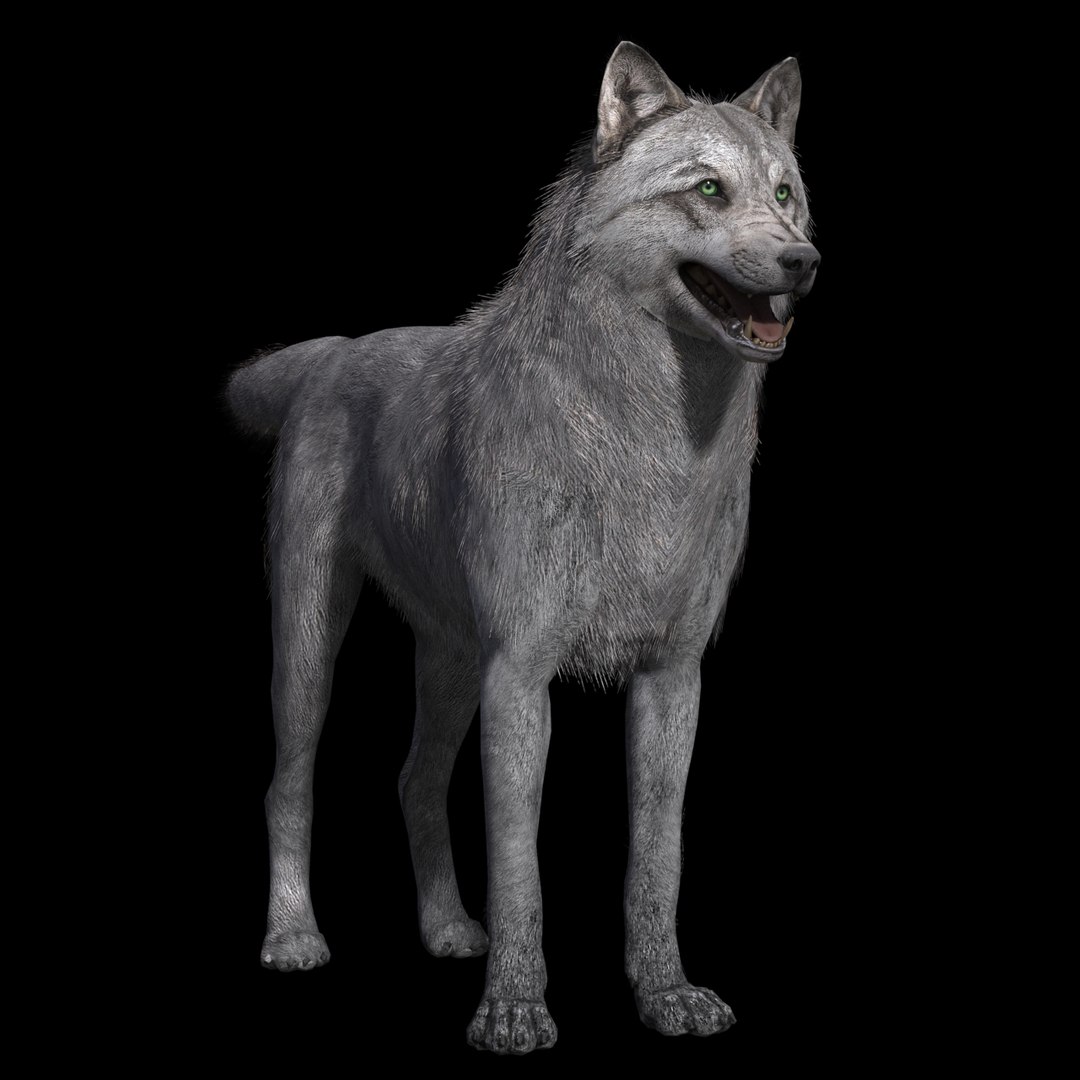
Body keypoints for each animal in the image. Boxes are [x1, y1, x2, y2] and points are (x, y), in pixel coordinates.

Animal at [227, 42, 819, 1054]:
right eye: (707, 188)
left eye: (785, 194)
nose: (804, 260)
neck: (649, 446)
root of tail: (335, 351)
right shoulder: (521, 675)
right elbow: (520, 869)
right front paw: (512, 1011)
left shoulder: (672, 679)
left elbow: (658, 861)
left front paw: (668, 995)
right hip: (311, 649)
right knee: (288, 785)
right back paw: (295, 939)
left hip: (451, 662)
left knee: (413, 779)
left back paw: (446, 931)